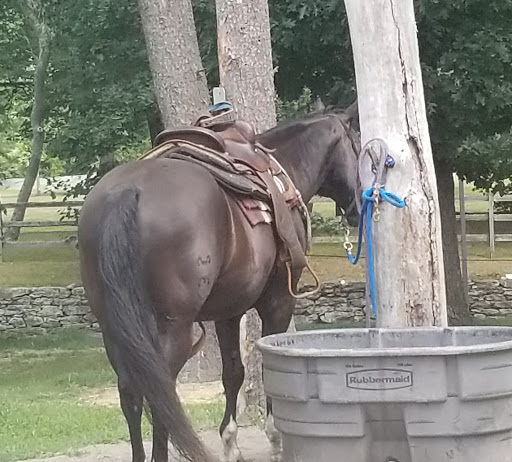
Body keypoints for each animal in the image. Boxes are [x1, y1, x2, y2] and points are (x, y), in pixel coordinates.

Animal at [78, 105, 358, 462]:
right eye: (359, 145)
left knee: (131, 392)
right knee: (160, 392)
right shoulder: (278, 301)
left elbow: (234, 372)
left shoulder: (228, 310)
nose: (359, 204)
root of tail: (126, 191)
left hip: (113, 328)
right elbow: (268, 368)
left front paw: (230, 442)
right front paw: (275, 439)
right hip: (174, 328)